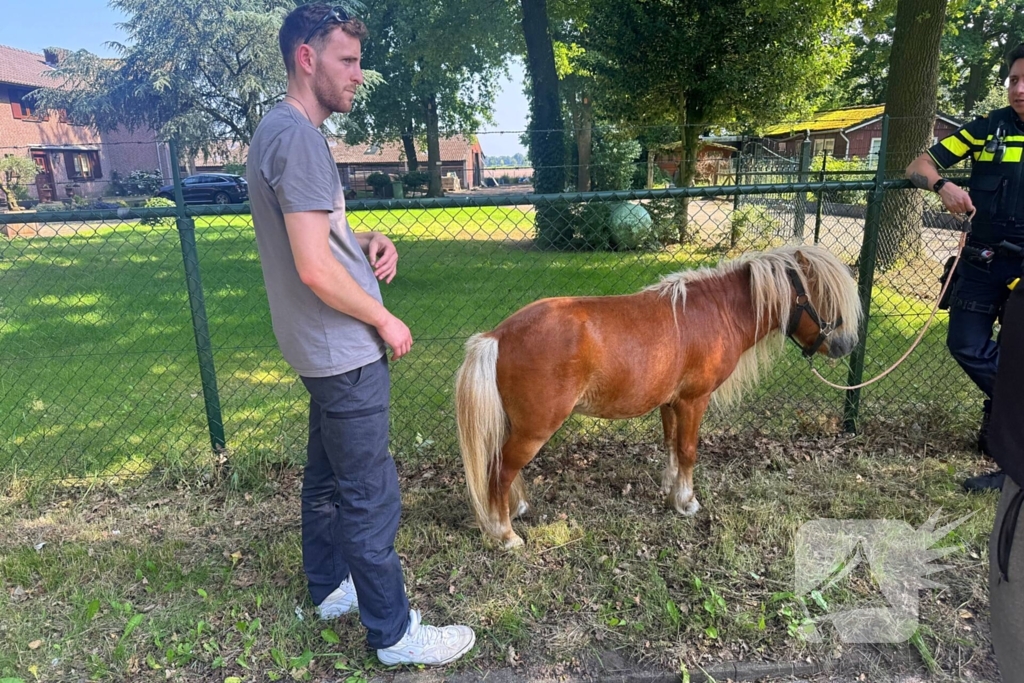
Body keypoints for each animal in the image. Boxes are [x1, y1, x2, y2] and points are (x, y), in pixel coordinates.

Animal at [454, 243, 862, 549]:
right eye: (823, 295)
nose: (846, 345)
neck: (716, 312)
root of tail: (498, 336)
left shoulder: (670, 402)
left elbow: (670, 445)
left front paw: (670, 489)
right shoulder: (694, 401)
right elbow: (688, 450)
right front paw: (686, 501)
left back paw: (515, 509)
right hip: (535, 429)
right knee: (499, 471)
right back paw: (505, 534)